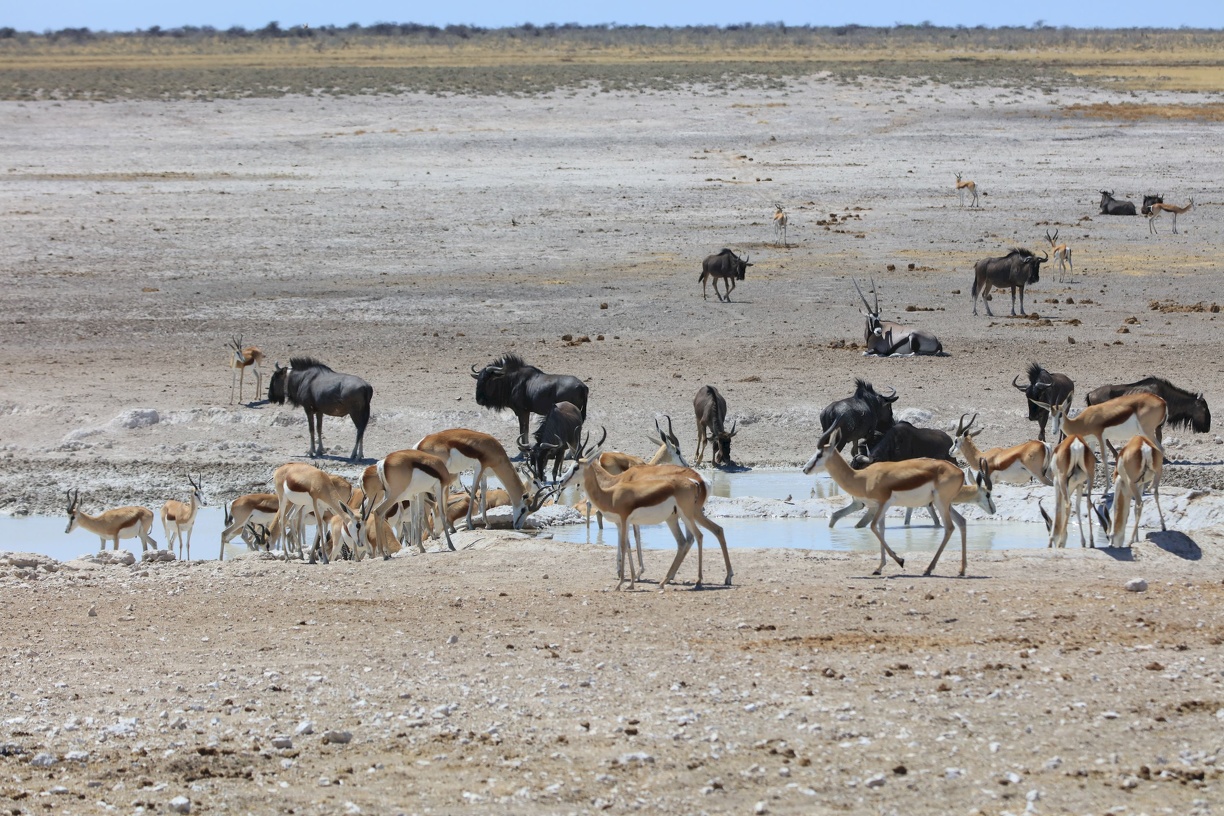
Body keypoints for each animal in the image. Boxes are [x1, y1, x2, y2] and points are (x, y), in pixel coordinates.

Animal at [558, 429, 732, 591]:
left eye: (575, 467)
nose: (561, 481)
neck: (612, 489)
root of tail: (699, 482)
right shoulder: (623, 522)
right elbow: (628, 544)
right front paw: (630, 579)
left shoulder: (626, 520)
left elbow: (630, 541)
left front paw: (628, 577)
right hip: (680, 517)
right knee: (707, 533)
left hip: (688, 515)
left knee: (698, 536)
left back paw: (698, 580)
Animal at [803, 428, 996, 577]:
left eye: (819, 454)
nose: (805, 469)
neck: (863, 478)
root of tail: (959, 472)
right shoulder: (878, 507)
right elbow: (880, 529)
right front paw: (879, 568)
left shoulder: (883, 504)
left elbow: (873, 527)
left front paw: (900, 560)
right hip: (945, 504)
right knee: (961, 522)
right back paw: (961, 570)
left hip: (941, 503)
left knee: (949, 527)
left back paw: (928, 569)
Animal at [1030, 392, 1166, 484]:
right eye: (1050, 415)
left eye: (1060, 414)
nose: (1054, 431)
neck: (1082, 422)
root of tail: (1162, 401)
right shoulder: (1092, 440)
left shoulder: (1100, 436)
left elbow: (1104, 459)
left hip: (1147, 431)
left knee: (1160, 449)